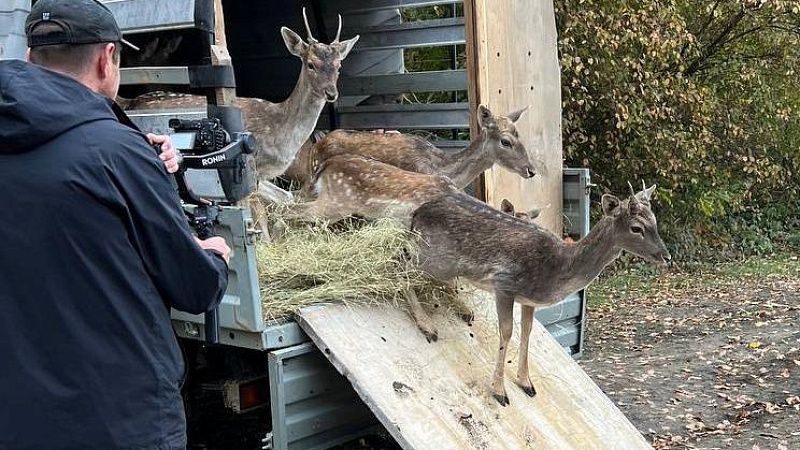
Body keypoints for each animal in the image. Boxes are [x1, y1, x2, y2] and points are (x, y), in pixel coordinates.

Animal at [410, 181, 672, 406]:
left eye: (655, 222)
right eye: (636, 228)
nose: (666, 256)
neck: (555, 272)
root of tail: (415, 215)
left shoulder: (528, 300)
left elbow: (527, 331)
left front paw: (526, 383)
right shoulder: (504, 283)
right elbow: (507, 332)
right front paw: (499, 391)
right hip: (433, 258)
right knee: (404, 269)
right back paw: (427, 326)